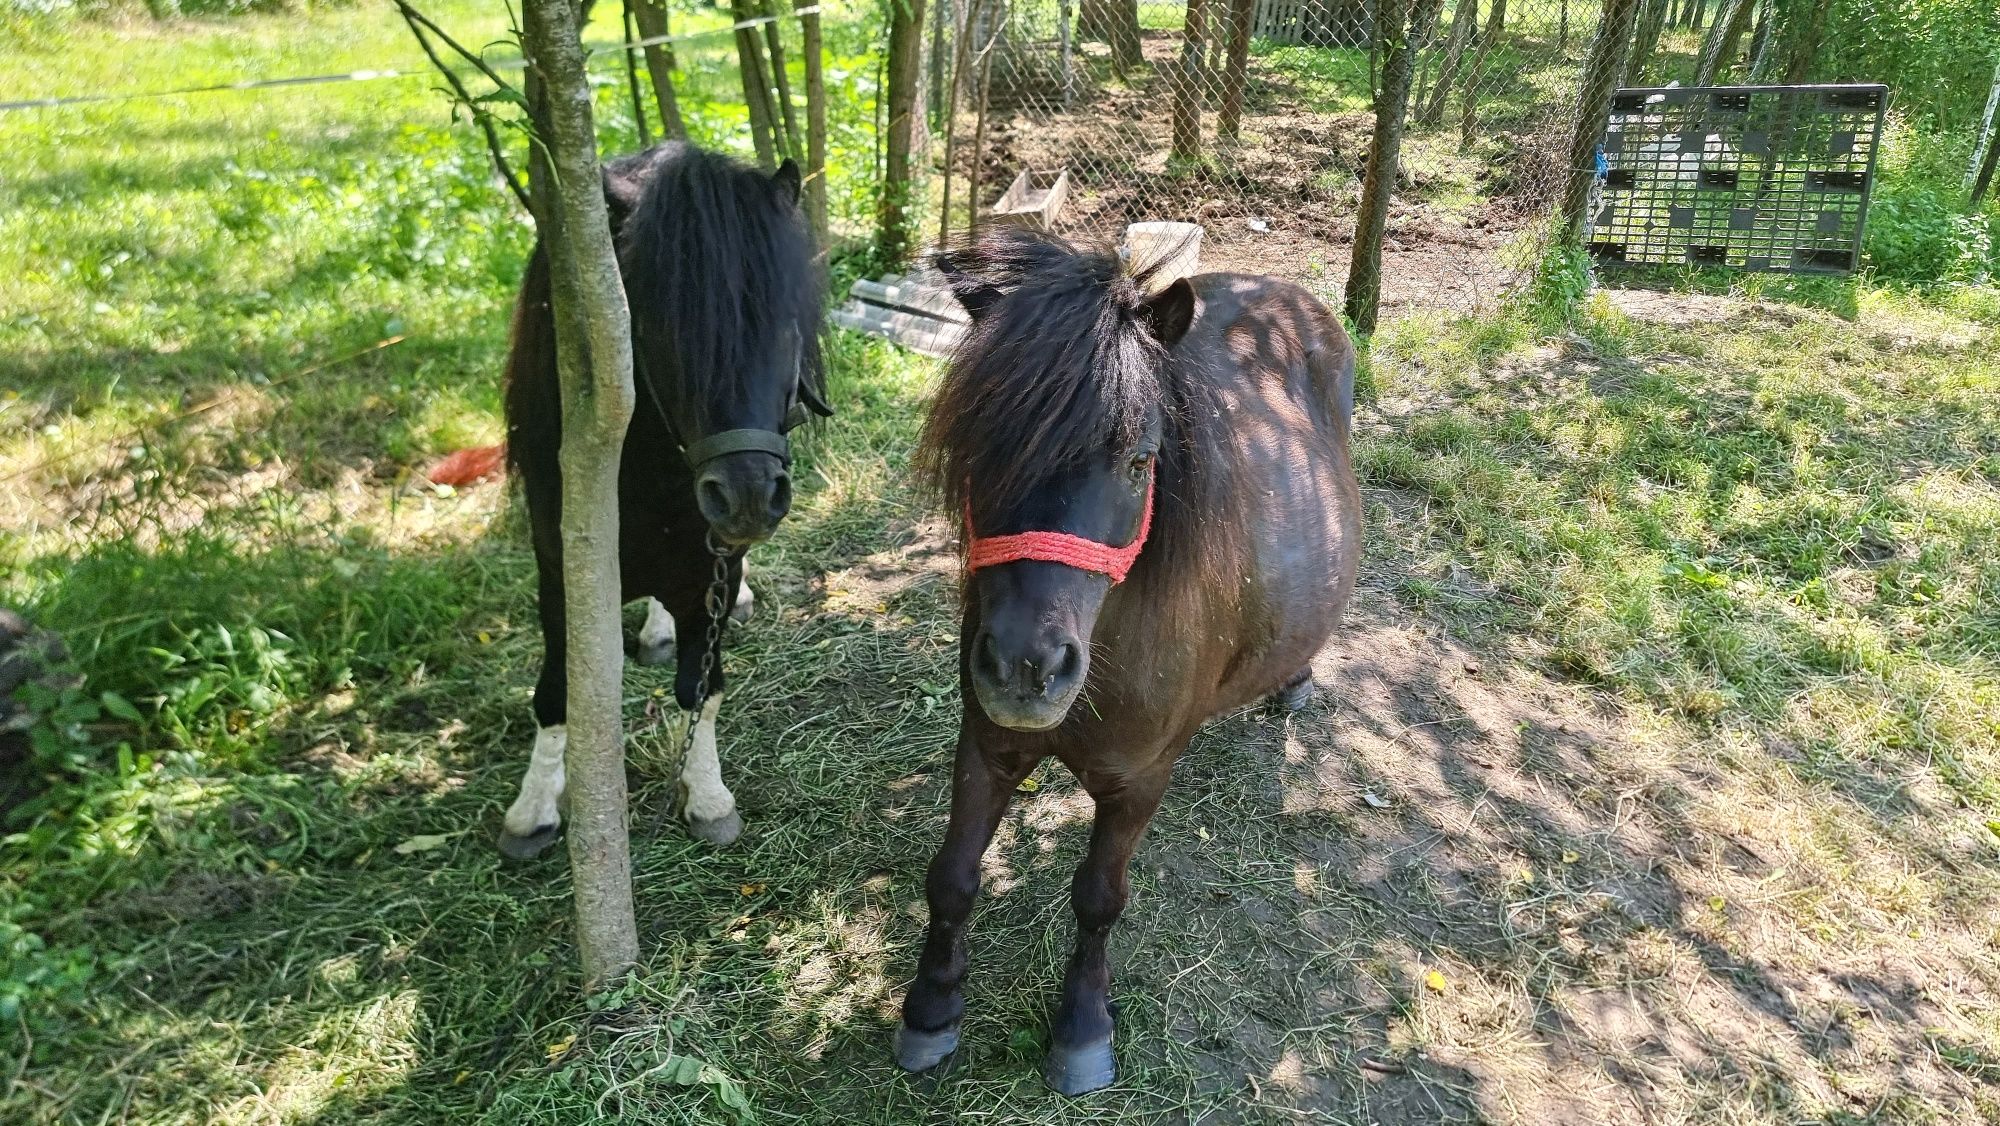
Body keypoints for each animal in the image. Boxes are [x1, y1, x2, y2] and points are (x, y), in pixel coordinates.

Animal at [492, 143, 828, 864]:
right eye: (657, 330)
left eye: (786, 325)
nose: (748, 495)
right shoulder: (561, 568)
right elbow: (556, 693)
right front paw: (532, 810)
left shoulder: (710, 568)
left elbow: (702, 683)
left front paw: (707, 797)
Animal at [904, 229, 1360, 1096]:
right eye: (980, 446)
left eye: (1140, 460)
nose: (1026, 668)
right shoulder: (987, 743)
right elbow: (951, 874)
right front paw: (933, 1005)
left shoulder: (1140, 780)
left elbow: (1098, 899)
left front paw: (1083, 1026)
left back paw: (1295, 681)